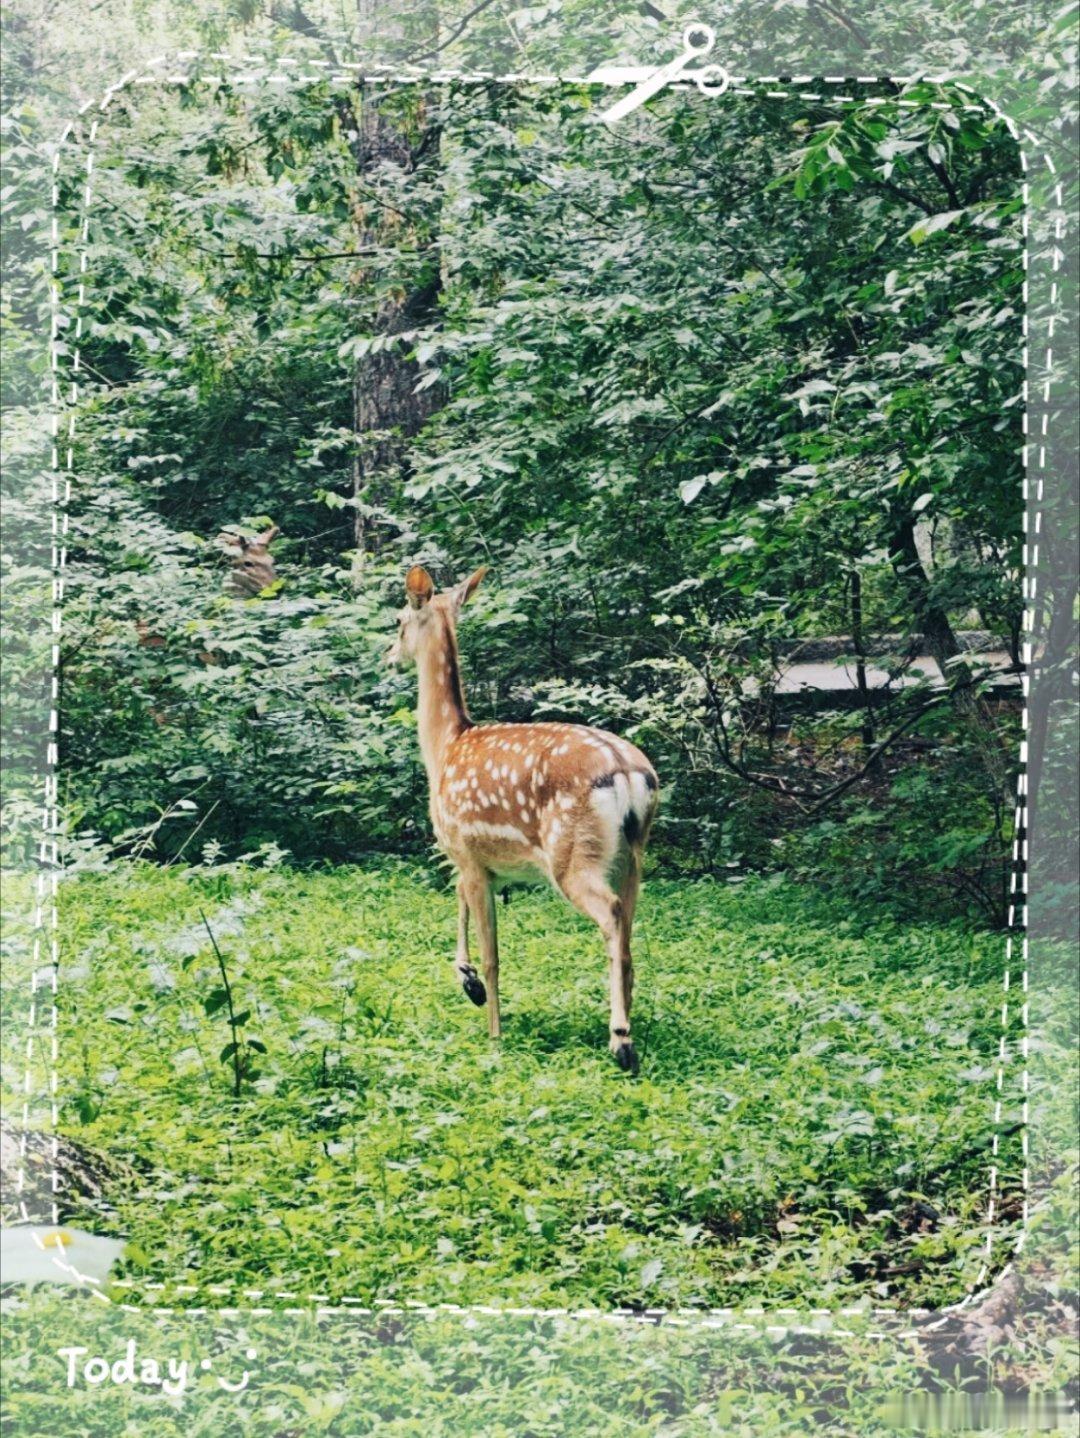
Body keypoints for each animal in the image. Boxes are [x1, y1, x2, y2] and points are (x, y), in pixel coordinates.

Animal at [389, 564, 659, 1073]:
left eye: (398, 620)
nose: (388, 655)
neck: (444, 748)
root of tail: (630, 775)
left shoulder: (464, 846)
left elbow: (494, 953)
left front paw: (493, 1029)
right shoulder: (478, 860)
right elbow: (457, 895)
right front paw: (467, 980)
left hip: (571, 853)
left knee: (611, 915)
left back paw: (621, 1041)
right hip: (634, 856)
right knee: (629, 934)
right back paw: (630, 1024)